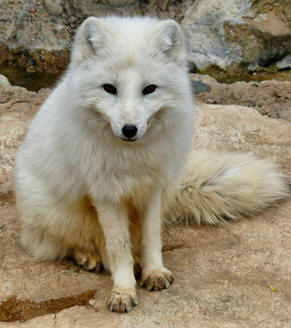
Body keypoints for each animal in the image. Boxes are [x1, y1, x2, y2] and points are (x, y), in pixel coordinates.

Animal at [14, 16, 290, 312]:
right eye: (109, 88)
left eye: (149, 89)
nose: (129, 129)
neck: (133, 159)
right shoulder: (106, 194)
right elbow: (119, 247)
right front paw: (123, 290)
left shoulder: (152, 188)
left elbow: (151, 237)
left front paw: (154, 271)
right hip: (57, 213)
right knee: (68, 243)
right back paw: (89, 256)